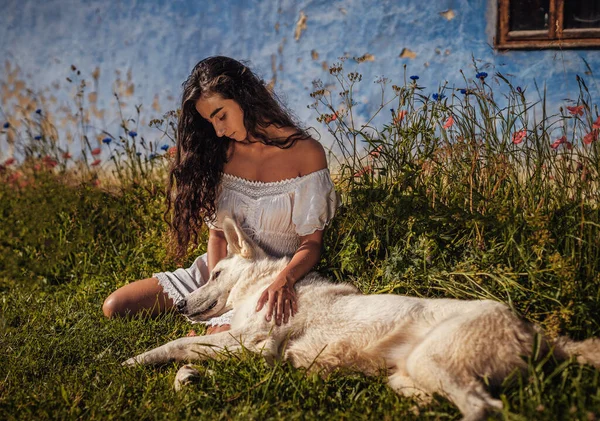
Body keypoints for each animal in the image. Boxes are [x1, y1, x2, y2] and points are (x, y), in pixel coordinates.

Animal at [124, 218, 596, 418]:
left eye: (217, 273)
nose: (181, 306)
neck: (262, 288)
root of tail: (537, 330)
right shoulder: (251, 353)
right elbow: (188, 359)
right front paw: (188, 380)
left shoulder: (247, 346)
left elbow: (177, 344)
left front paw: (134, 361)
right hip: (408, 376)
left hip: (432, 361)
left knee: (484, 408)